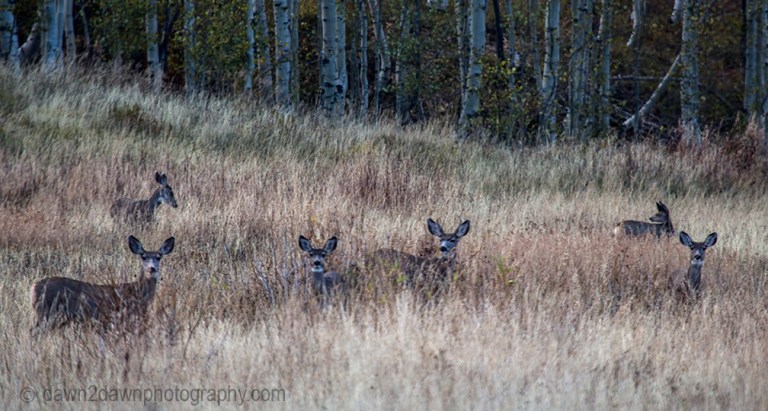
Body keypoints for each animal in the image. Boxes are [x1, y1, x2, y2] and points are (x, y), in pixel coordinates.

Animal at [30, 235, 175, 337]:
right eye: (143, 257)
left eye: (159, 257)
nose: (151, 269)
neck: (136, 292)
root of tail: (33, 287)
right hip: (46, 312)